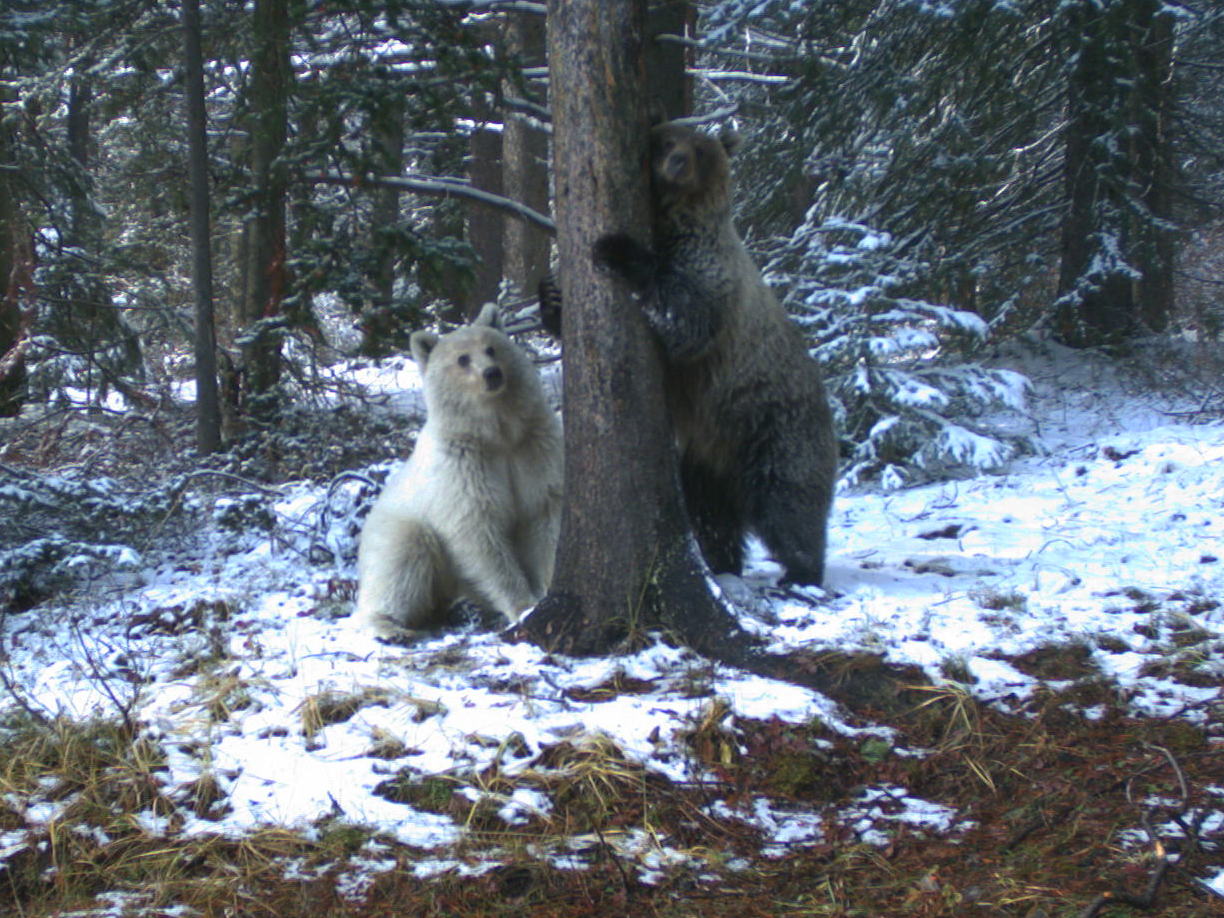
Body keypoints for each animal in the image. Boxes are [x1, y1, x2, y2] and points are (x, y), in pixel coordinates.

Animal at [354, 302, 563, 641]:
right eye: (462, 359)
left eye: (492, 348)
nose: (492, 373)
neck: (497, 435)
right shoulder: (463, 467)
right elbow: (480, 534)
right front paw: (522, 607)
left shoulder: (535, 449)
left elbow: (544, 516)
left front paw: (546, 589)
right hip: (398, 525)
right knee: (400, 562)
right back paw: (389, 626)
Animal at [587, 122, 837, 585]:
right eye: (667, 140)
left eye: (700, 150)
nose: (677, 162)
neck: (674, 221)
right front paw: (551, 297)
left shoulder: (710, 271)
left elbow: (686, 319)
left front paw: (617, 249)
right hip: (707, 459)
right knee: (711, 516)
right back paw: (723, 564)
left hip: (774, 427)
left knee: (787, 503)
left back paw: (801, 570)